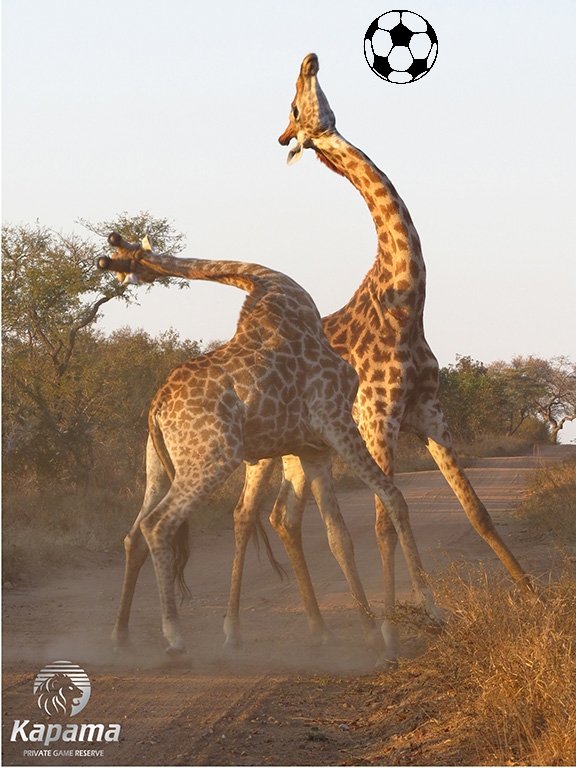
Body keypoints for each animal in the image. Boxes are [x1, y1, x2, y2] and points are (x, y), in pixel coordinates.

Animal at [99, 231, 437, 661]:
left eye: (121, 258)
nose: (112, 262)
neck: (269, 282)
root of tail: (156, 405)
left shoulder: (314, 448)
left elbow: (338, 536)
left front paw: (371, 634)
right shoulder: (336, 419)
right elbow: (394, 498)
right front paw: (431, 610)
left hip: (159, 466)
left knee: (134, 533)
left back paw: (120, 634)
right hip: (213, 457)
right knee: (158, 525)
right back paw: (174, 635)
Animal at [224, 52, 531, 657]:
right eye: (295, 107)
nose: (308, 59)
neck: (405, 302)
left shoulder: (429, 412)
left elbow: (475, 509)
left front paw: (529, 593)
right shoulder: (378, 417)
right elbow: (388, 518)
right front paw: (398, 626)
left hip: (303, 451)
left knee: (284, 517)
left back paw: (322, 625)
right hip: (264, 450)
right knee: (246, 515)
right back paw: (236, 631)